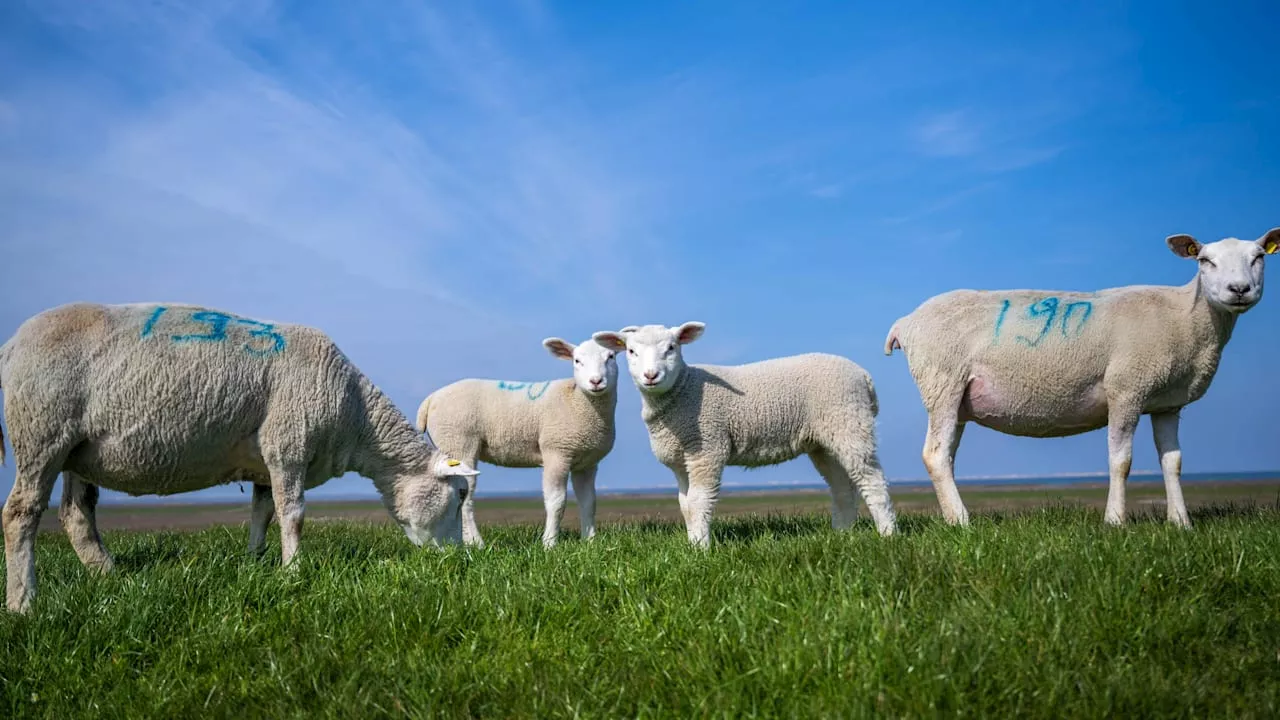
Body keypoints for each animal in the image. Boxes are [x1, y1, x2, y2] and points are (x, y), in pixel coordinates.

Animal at [0, 298, 481, 609]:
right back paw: (24, 604)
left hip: (78, 450)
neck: (355, 415)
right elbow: (293, 514)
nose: (457, 563)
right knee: (20, 513)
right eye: (459, 494)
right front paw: (294, 572)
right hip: (41, 431)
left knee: (76, 513)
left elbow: (262, 513)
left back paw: (109, 576)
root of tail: (11, 345)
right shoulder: (288, 443)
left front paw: (255, 563)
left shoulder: (267, 461)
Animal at [414, 335, 619, 543]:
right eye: (577, 361)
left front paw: (590, 542)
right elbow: (556, 502)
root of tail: (431, 399)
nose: (596, 381)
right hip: (459, 443)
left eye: (611, 356)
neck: (576, 399)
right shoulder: (556, 452)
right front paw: (549, 543)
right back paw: (476, 543)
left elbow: (589, 503)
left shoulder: (587, 463)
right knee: (464, 497)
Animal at [593, 319, 896, 543]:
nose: (651, 376)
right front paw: (692, 543)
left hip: (849, 422)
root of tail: (863, 375)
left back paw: (888, 534)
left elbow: (700, 501)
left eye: (671, 348)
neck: (683, 390)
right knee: (843, 487)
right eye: (631, 352)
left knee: (872, 480)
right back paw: (843, 534)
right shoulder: (681, 460)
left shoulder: (707, 449)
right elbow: (686, 505)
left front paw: (701, 548)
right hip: (824, 440)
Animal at [885, 226, 1274, 525]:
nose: (1239, 290)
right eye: (1205, 260)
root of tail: (906, 321)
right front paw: (1114, 522)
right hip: (943, 382)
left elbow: (1173, 462)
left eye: (1259, 257)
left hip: (956, 397)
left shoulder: (1167, 404)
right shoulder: (1126, 388)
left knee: (947, 455)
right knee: (935, 455)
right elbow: (1121, 461)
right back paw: (962, 521)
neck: (1185, 317)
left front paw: (1180, 523)